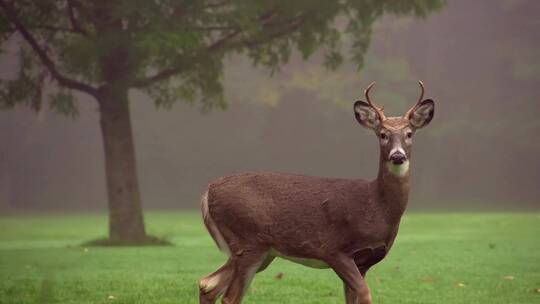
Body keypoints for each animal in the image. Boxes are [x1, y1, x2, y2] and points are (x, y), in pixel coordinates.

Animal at [198, 81, 434, 304]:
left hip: (261, 252)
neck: (376, 207)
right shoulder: (333, 249)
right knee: (228, 297)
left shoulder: (364, 262)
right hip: (248, 241)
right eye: (383, 135)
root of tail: (208, 192)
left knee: (207, 284)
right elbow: (365, 294)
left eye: (409, 134)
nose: (397, 156)